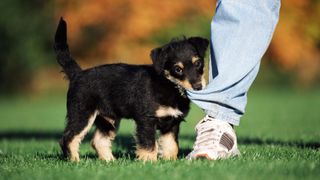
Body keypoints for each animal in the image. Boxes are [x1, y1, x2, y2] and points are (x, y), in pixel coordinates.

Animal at [53, 17, 209, 162]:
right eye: (177, 69)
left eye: (198, 63)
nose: (198, 87)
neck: (168, 85)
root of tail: (77, 74)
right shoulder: (146, 120)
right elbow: (149, 144)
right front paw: (150, 162)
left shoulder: (172, 122)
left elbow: (171, 145)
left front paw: (170, 161)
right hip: (82, 114)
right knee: (68, 138)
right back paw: (75, 161)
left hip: (108, 119)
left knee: (98, 141)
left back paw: (110, 161)